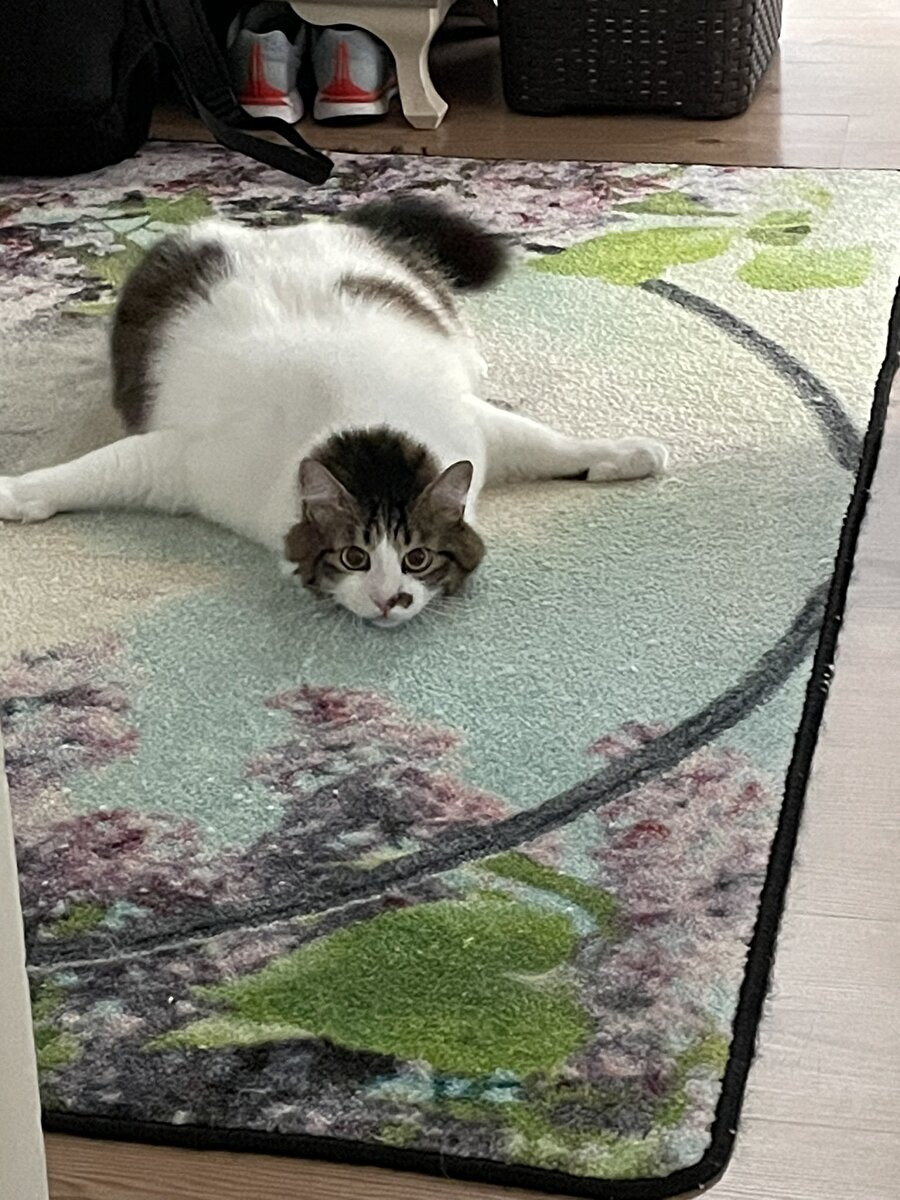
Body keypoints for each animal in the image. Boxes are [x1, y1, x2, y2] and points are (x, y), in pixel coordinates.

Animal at [0, 197, 668, 628]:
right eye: (355, 556)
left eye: (417, 556)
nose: (391, 598)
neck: (356, 413)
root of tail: (296, 223)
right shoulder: (184, 458)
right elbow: (90, 471)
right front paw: (15, 492)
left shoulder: (471, 425)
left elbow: (549, 442)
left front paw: (623, 452)